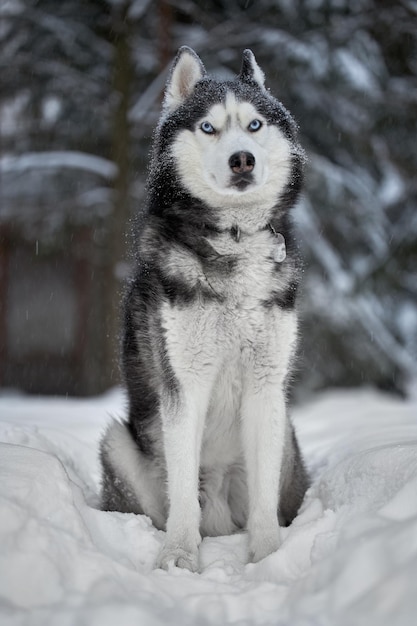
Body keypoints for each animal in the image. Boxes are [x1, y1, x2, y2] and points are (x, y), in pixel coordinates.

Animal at [100, 46, 308, 568]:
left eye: (254, 125)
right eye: (209, 127)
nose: (242, 159)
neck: (233, 239)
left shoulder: (266, 385)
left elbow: (263, 500)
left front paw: (268, 557)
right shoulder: (184, 382)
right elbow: (180, 487)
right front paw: (178, 555)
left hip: (286, 436)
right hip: (118, 444)